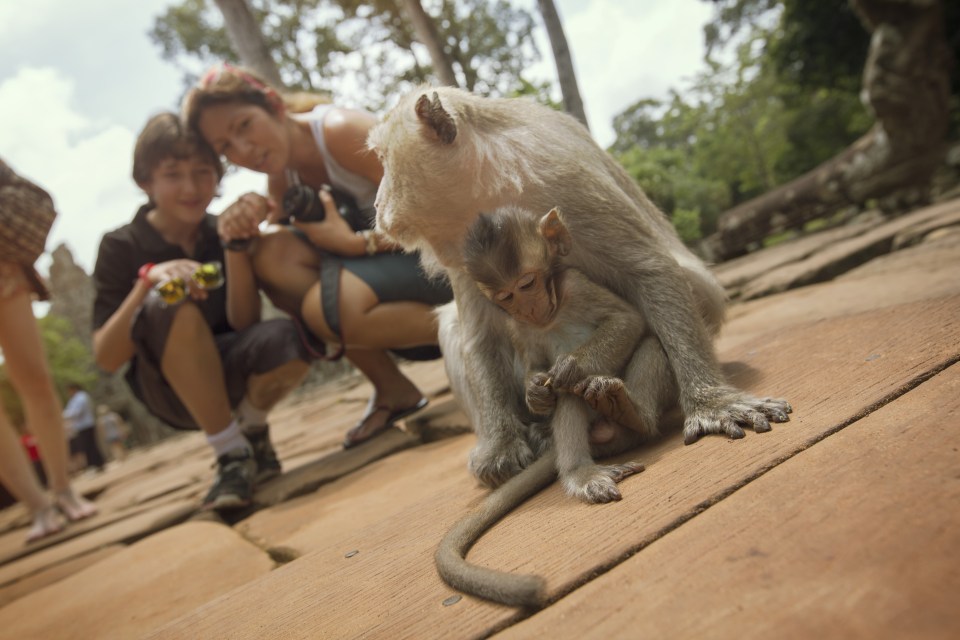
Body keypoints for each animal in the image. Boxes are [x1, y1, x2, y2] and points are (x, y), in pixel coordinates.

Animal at [366, 86, 788, 490]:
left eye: (384, 158)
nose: (377, 203)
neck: (489, 183)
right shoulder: (463, 244)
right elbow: (481, 336)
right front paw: (502, 446)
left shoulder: (563, 178)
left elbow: (651, 270)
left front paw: (711, 403)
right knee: (455, 325)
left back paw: (624, 417)